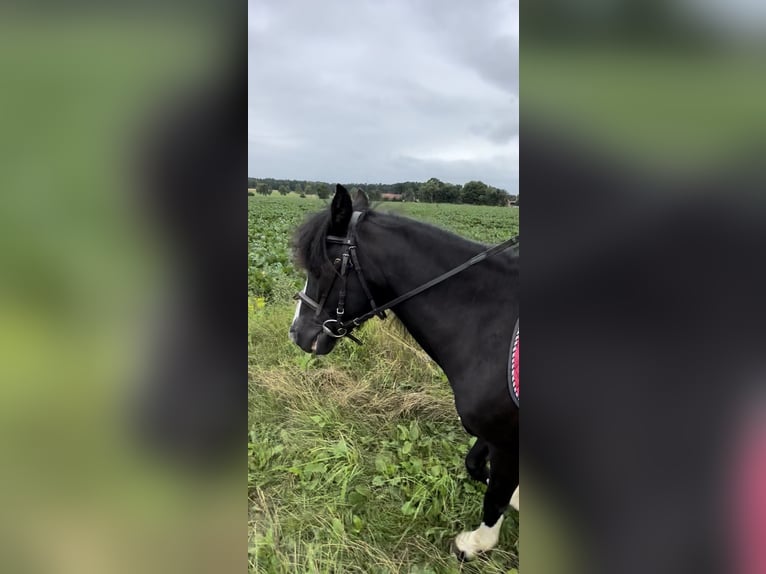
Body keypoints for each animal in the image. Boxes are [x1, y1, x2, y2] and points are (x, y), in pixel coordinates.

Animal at [289, 184, 519, 559]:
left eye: (325, 266)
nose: (297, 334)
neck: (488, 325)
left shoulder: (506, 440)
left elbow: (496, 495)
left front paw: (475, 543)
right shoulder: (493, 432)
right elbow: (477, 468)